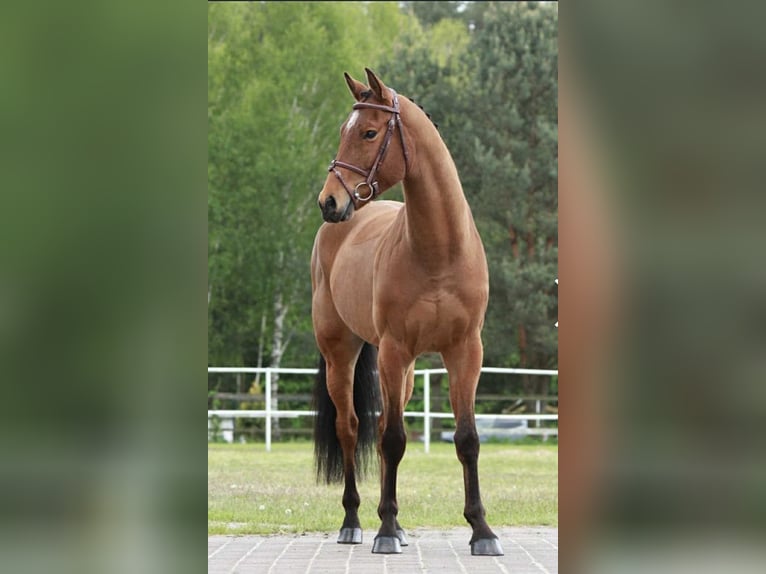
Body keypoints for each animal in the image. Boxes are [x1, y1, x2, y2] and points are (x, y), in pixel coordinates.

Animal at [311, 68, 503, 556]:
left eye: (369, 132)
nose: (329, 202)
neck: (437, 250)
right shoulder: (394, 350)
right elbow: (395, 439)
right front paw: (382, 531)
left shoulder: (464, 353)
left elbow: (467, 439)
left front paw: (482, 531)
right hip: (344, 354)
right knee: (350, 428)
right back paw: (355, 522)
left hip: (405, 369)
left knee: (377, 431)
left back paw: (393, 523)